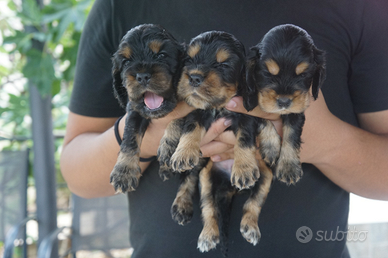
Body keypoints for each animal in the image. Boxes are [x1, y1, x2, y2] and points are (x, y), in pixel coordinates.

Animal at [110, 24, 184, 192]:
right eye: (126, 62)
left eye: (161, 55)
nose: (142, 76)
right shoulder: (135, 110)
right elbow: (130, 137)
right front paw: (124, 172)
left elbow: (179, 121)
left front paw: (167, 148)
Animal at [156, 30, 274, 254]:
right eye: (189, 59)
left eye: (223, 65)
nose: (194, 77)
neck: (218, 106)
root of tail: (229, 189)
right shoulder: (196, 112)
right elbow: (190, 129)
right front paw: (183, 153)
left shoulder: (246, 116)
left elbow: (244, 139)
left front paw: (243, 169)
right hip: (206, 177)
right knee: (206, 204)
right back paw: (205, 233)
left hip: (266, 175)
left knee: (252, 204)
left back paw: (250, 228)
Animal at [247, 24, 326, 184]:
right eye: (267, 74)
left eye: (303, 75)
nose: (284, 101)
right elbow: (262, 117)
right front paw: (271, 148)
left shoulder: (297, 111)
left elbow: (291, 134)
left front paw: (289, 167)